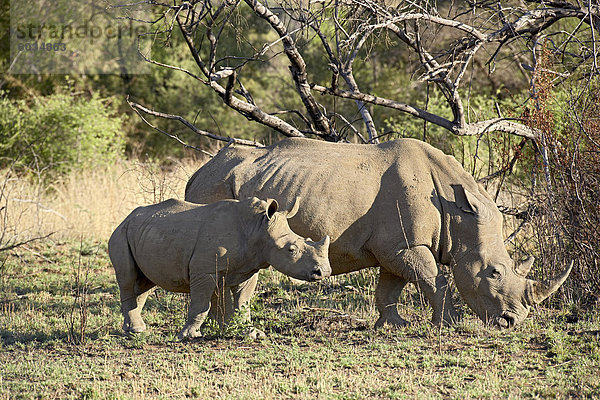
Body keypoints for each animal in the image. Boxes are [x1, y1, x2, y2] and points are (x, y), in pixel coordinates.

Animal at [109, 196, 330, 338]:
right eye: (291, 250)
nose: (324, 272)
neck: (257, 229)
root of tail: (126, 218)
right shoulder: (205, 271)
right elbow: (201, 302)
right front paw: (190, 335)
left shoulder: (247, 269)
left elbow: (242, 302)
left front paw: (250, 333)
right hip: (121, 234)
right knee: (128, 278)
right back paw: (136, 331)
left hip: (146, 233)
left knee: (145, 283)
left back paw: (135, 329)